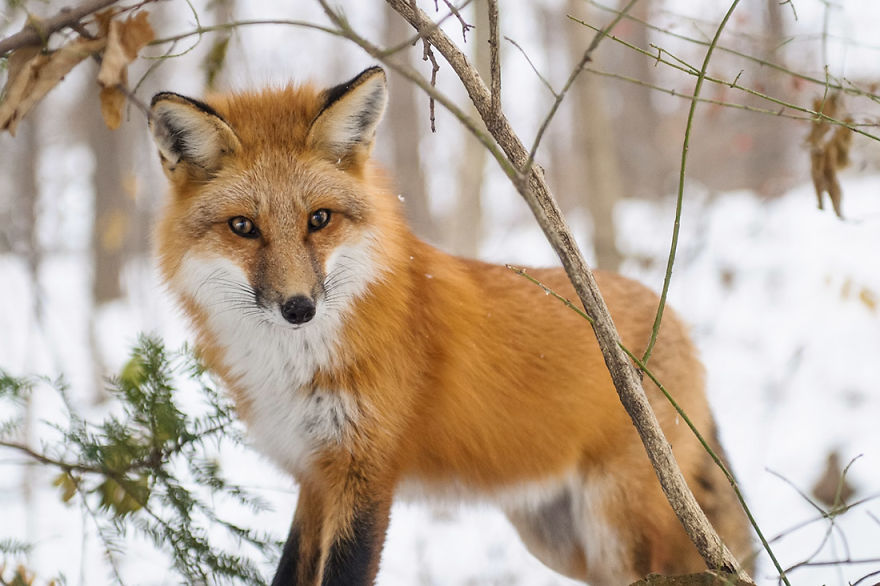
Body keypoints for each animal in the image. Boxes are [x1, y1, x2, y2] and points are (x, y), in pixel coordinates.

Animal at [148, 66, 752, 585]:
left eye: (319, 219)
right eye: (243, 227)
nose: (299, 308)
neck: (292, 367)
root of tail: (677, 322)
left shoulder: (366, 474)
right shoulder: (313, 475)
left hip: (619, 529)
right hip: (560, 542)